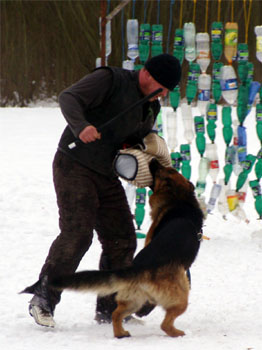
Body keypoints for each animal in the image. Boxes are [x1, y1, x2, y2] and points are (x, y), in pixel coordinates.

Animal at [50, 159, 203, 340]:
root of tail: (140, 268)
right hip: (180, 299)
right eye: (164, 168)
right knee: (165, 323)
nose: (153, 160)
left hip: (133, 300)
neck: (179, 199)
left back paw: (120, 333)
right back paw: (177, 333)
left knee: (116, 313)